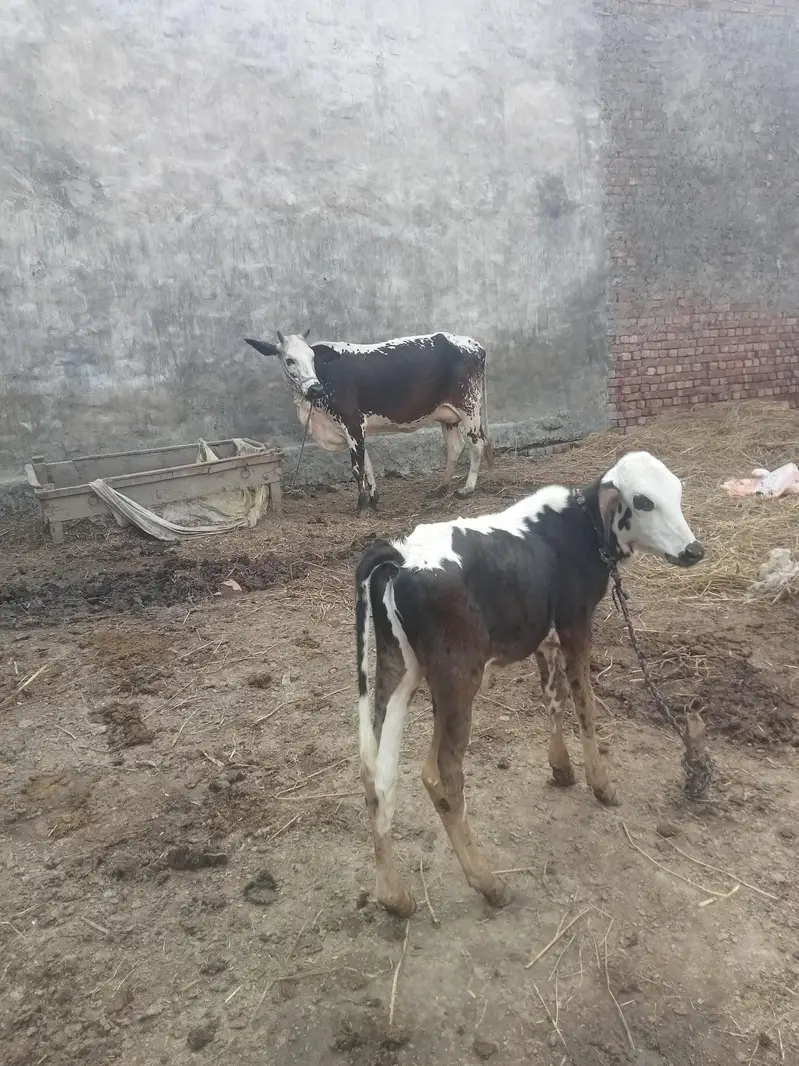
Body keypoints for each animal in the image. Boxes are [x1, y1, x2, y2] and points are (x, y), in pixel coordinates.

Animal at [244, 330, 492, 514]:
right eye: (289, 360)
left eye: (312, 358)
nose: (315, 389)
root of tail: (474, 344)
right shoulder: (351, 430)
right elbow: (368, 463)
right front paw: (373, 499)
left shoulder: (353, 422)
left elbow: (358, 468)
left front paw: (361, 504)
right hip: (447, 415)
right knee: (455, 447)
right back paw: (441, 488)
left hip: (469, 408)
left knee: (477, 445)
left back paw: (467, 489)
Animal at [354, 451, 705, 916]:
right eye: (644, 501)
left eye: (677, 493)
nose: (693, 550)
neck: (578, 525)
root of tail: (401, 552)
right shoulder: (575, 624)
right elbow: (584, 704)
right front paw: (601, 785)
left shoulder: (544, 635)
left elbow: (554, 697)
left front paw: (562, 767)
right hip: (458, 679)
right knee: (439, 772)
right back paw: (488, 884)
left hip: (399, 673)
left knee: (377, 773)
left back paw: (395, 897)